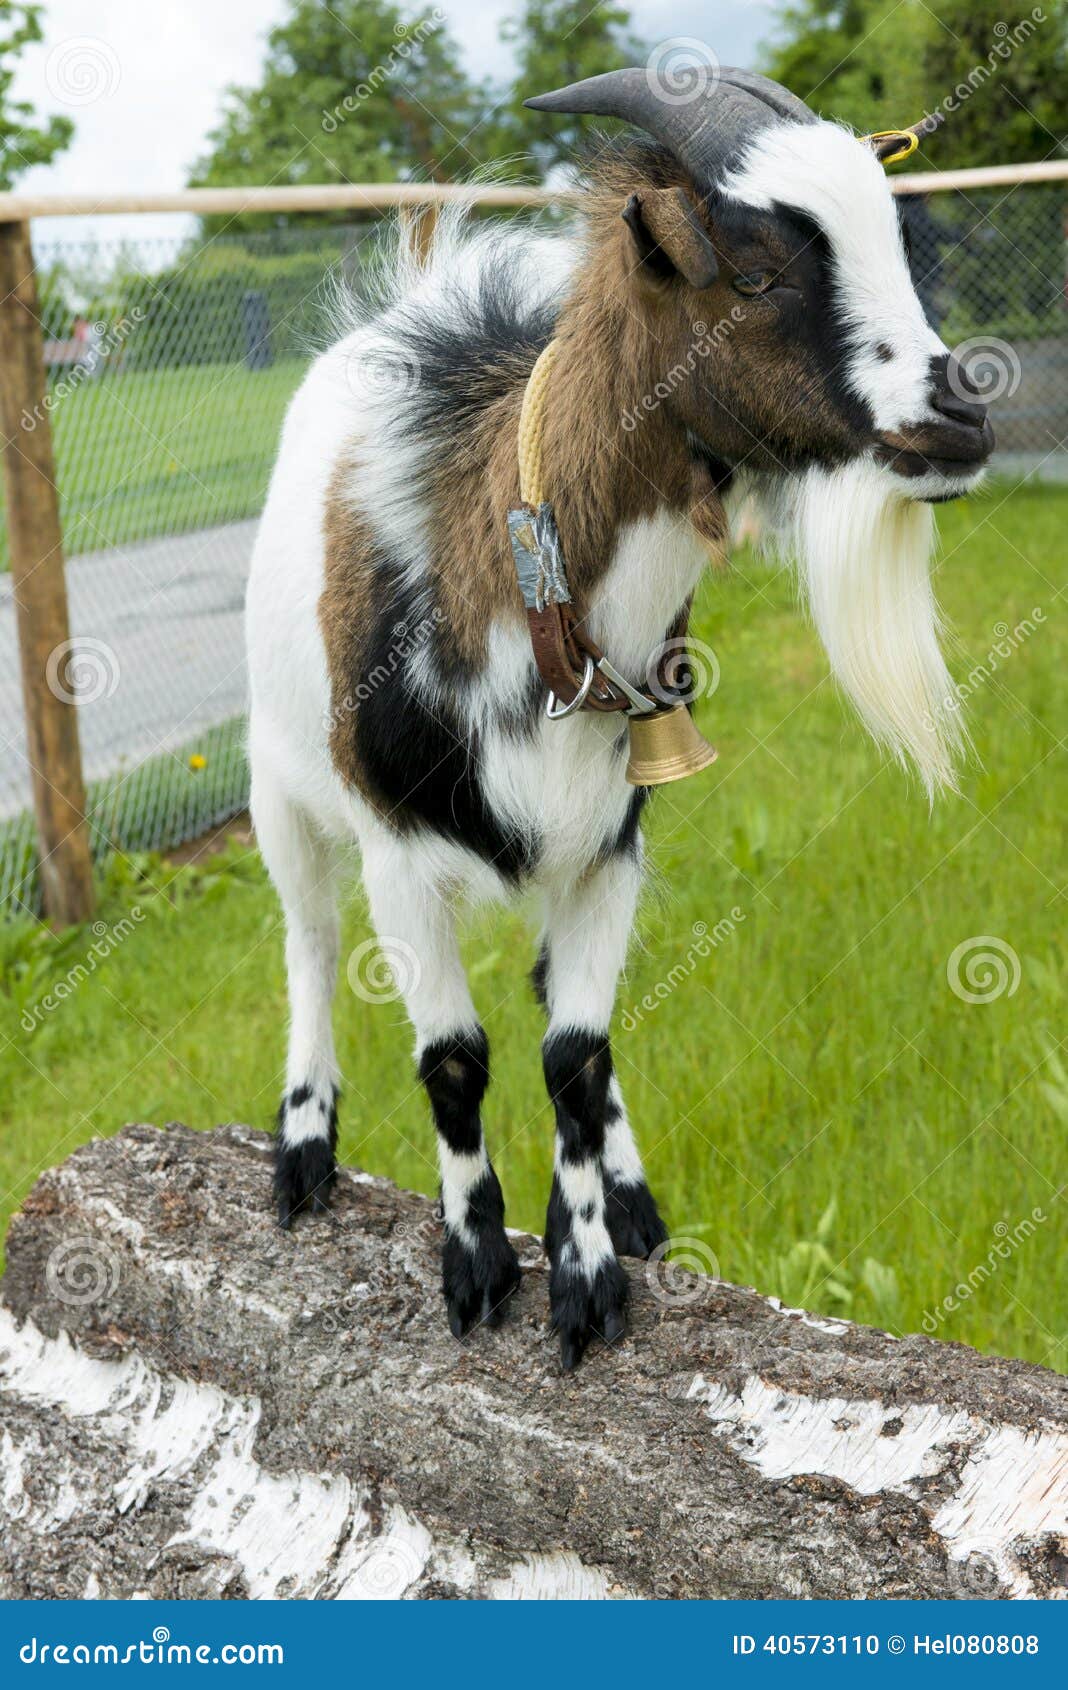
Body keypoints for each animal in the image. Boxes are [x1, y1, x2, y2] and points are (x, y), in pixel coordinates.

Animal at [245, 64, 992, 1369]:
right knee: (311, 942)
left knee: (553, 996)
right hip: (275, 783)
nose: (962, 417)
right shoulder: (397, 849)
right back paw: (302, 1148)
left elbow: (576, 1058)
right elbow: (452, 1059)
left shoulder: (612, 843)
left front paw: (589, 1264)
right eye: (754, 274)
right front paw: (475, 1266)